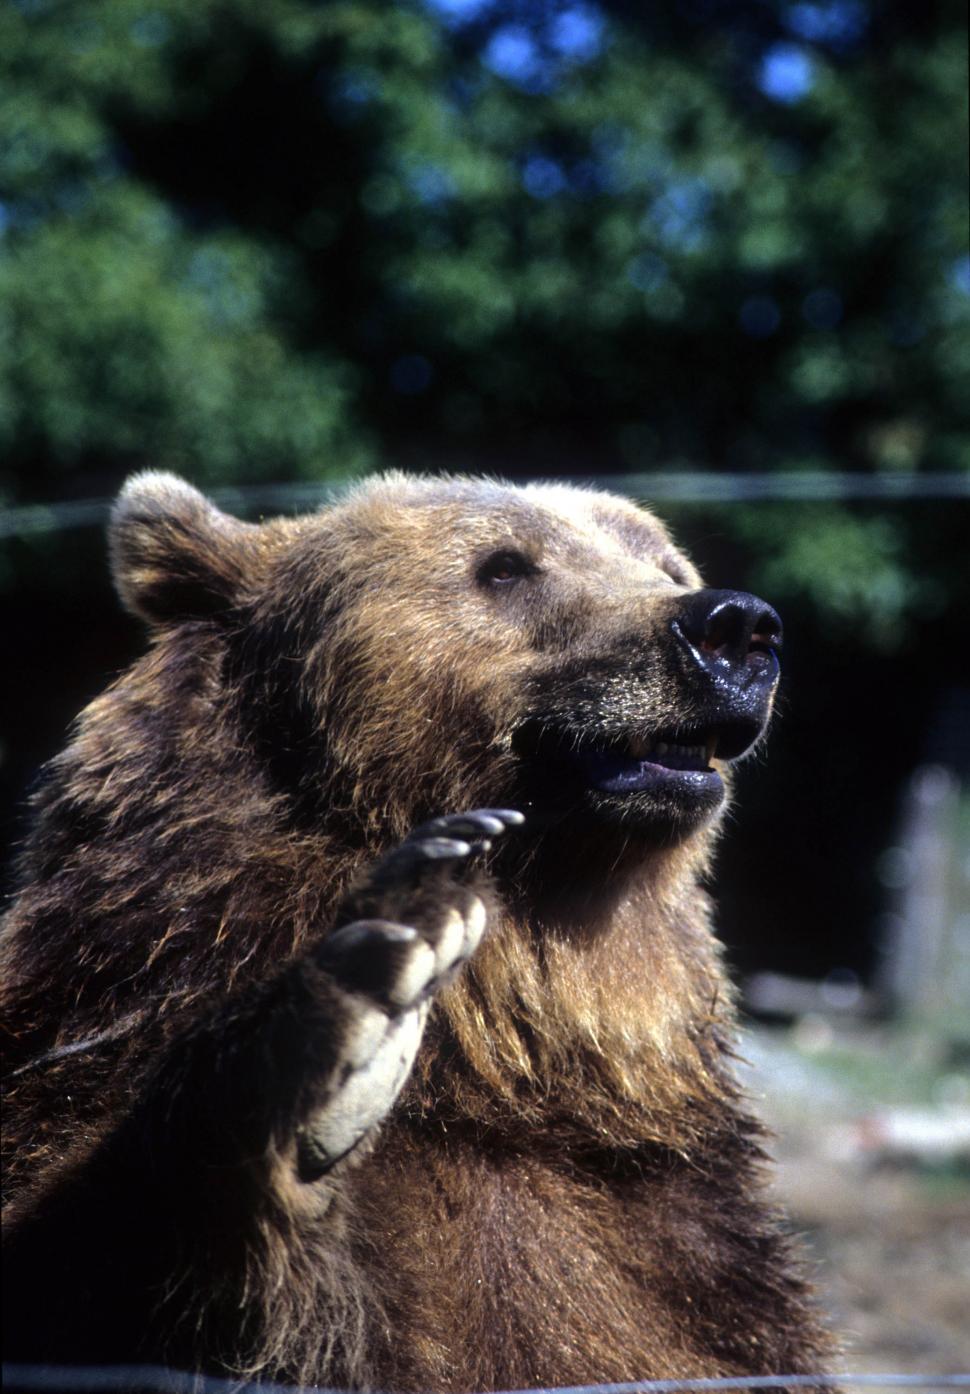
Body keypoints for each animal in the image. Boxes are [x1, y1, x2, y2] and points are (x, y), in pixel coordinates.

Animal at [2, 471, 834, 1390]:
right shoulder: (101, 999)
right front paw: (352, 1007)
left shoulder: (680, 1244)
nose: (735, 627)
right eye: (505, 566)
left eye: (666, 563)